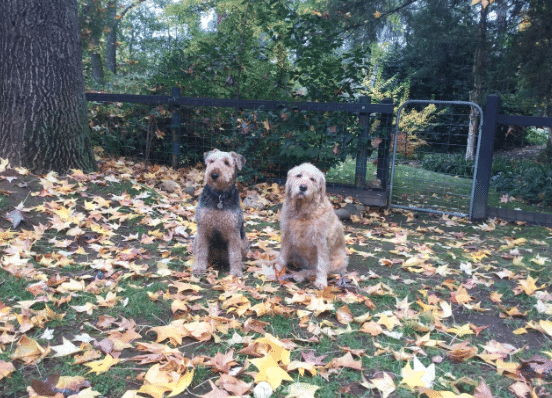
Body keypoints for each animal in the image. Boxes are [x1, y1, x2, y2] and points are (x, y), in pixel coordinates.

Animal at [192, 148, 248, 276]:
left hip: (244, 241)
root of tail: (219, 259)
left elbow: (235, 255)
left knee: (239, 256)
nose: (214, 175)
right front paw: (198, 268)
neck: (219, 197)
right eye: (211, 161)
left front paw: (236, 273)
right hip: (196, 239)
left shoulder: (233, 232)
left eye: (227, 163)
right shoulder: (202, 229)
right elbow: (201, 251)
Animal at [276, 162, 350, 290]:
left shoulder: (321, 241)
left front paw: (321, 281)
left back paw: (300, 275)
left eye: (312, 179)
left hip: (338, 263)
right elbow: (282, 256)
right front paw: (276, 268)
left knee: (313, 270)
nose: (303, 187)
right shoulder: (287, 235)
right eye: (299, 175)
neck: (302, 212)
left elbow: (321, 265)